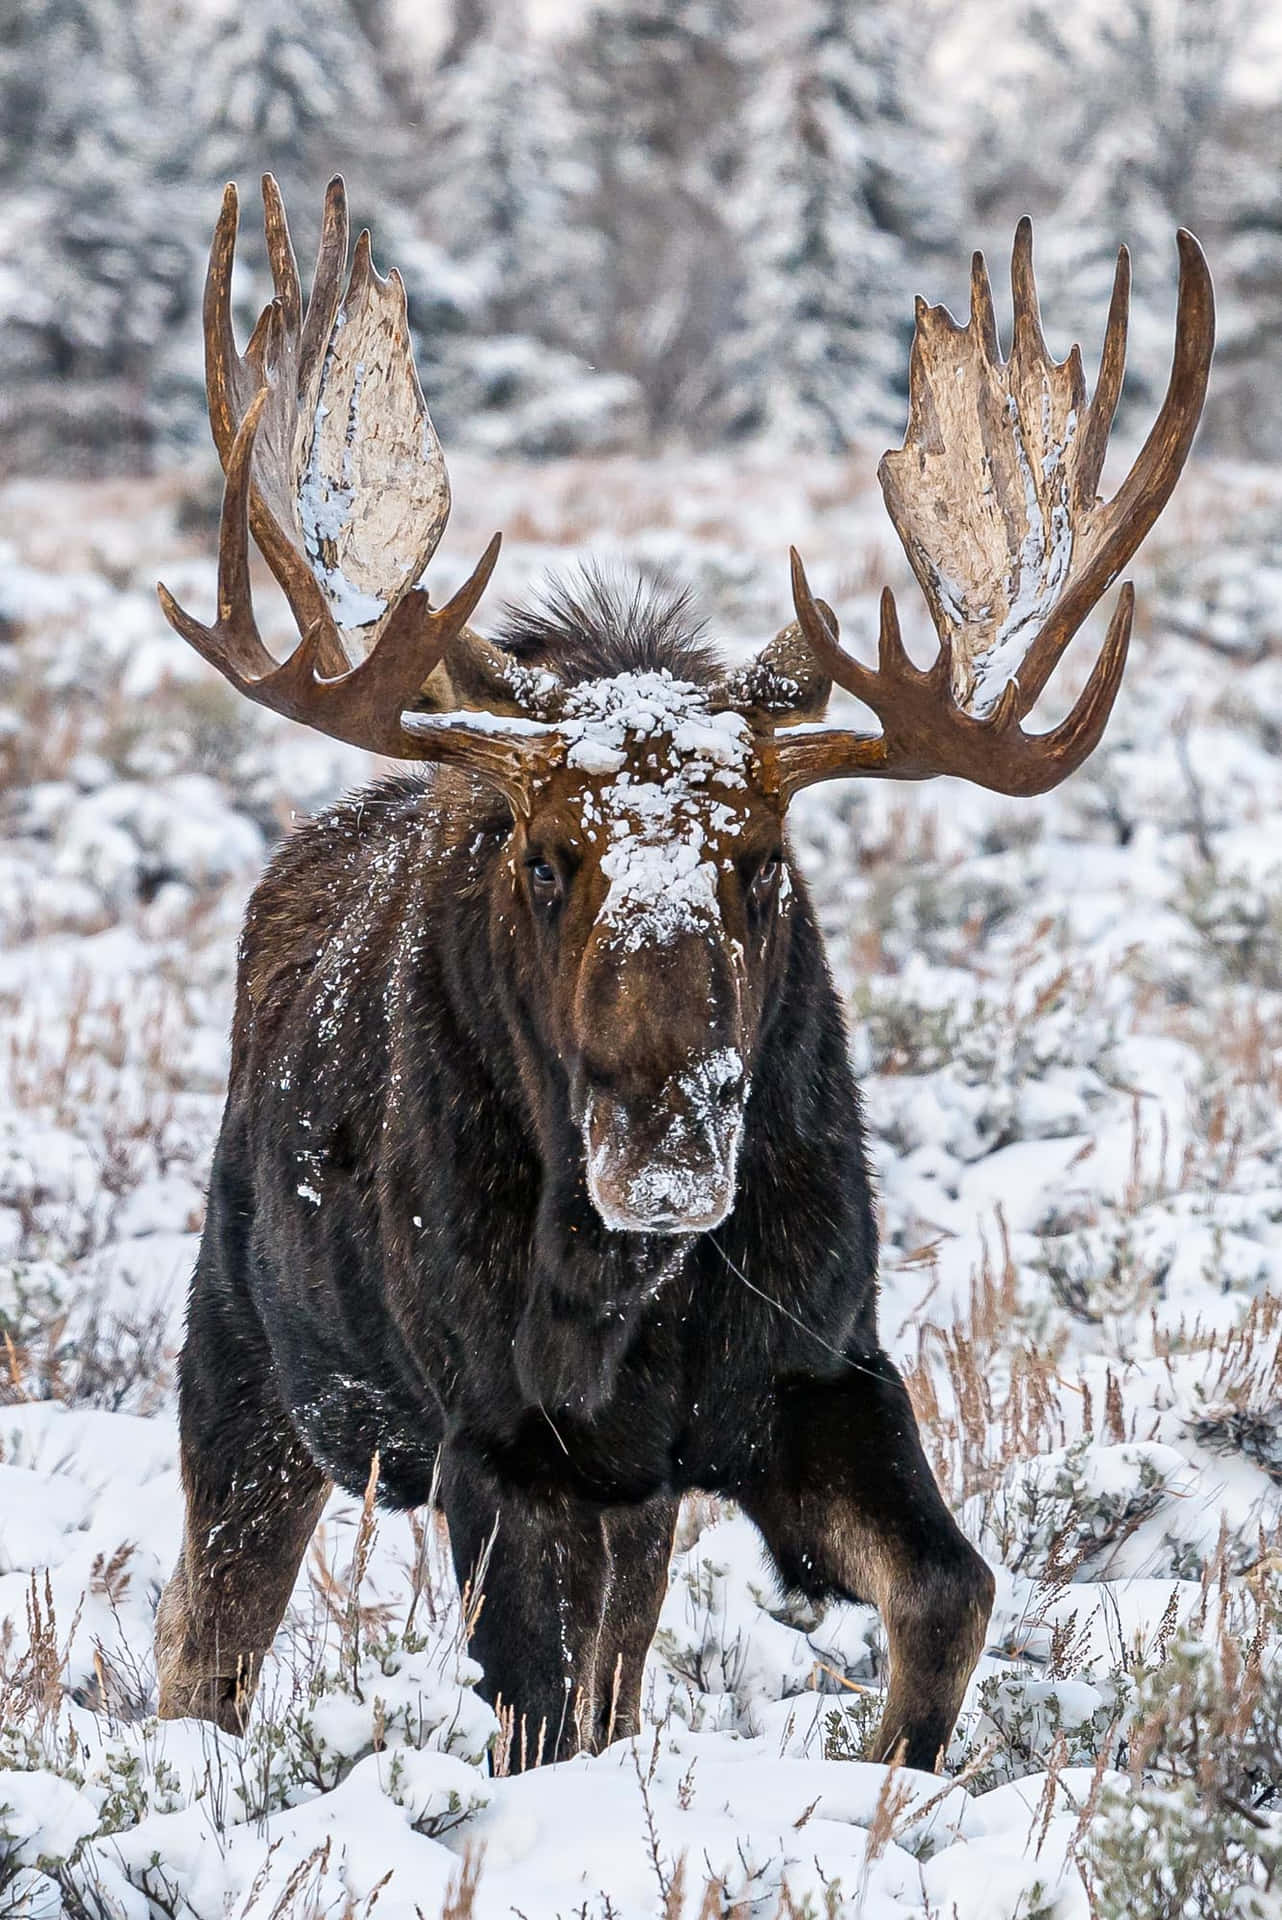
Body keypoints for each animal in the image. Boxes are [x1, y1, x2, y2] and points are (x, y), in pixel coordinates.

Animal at [152, 176, 1212, 1766]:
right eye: (544, 856)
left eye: (761, 858)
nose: (662, 1146)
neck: (630, 1312)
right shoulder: (495, 1437)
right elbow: (538, 1711)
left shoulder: (815, 1368)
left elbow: (949, 1592)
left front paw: (897, 1776)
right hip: (245, 1372)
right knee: (202, 1637)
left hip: (622, 1494)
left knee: (620, 1643)